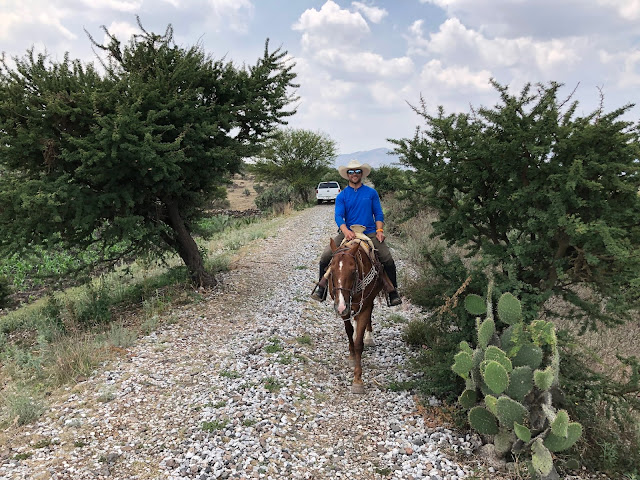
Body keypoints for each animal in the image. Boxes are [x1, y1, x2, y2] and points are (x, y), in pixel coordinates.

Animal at [328, 237, 382, 394]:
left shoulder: (364, 307)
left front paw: (357, 380)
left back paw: (369, 337)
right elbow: (349, 331)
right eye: (331, 270)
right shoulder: (344, 309)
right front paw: (351, 357)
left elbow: (358, 343)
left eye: (353, 272)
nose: (340, 306)